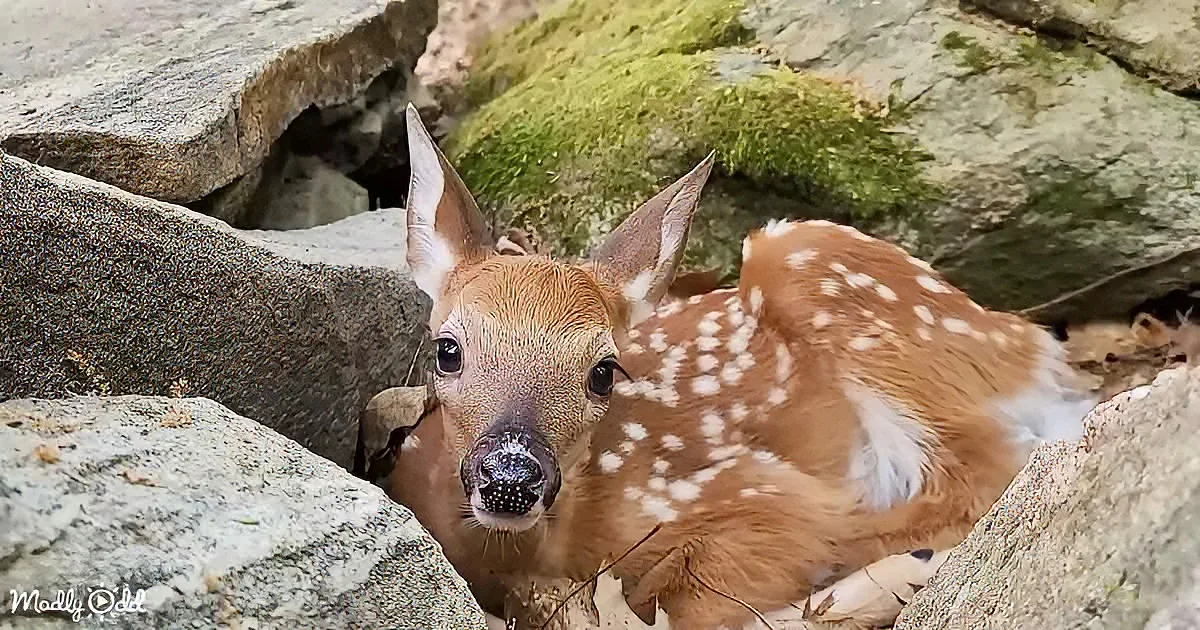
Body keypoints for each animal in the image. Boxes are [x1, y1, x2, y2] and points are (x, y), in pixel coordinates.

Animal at [386, 103, 1099, 629]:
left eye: (604, 371)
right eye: (447, 350)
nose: (512, 478)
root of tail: (1024, 336)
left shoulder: (749, 495)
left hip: (810, 262)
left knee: (980, 478)